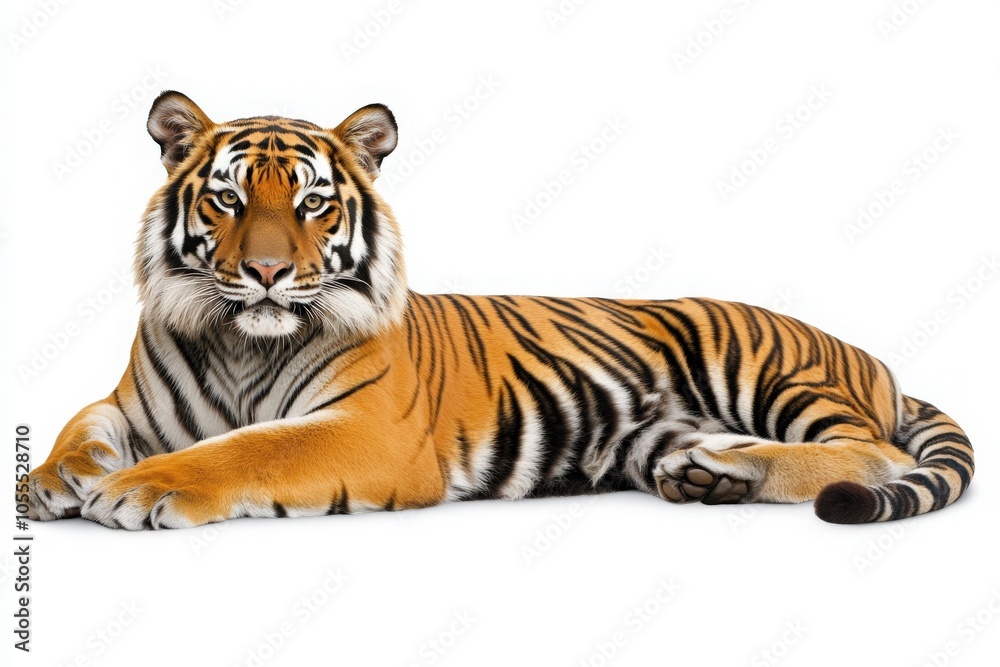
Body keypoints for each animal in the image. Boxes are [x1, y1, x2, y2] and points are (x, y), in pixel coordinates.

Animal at [25, 91, 973, 530]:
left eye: (312, 204)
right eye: (226, 200)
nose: (264, 271)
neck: (241, 343)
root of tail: (877, 361)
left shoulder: (368, 430)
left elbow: (250, 447)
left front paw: (139, 487)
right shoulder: (130, 401)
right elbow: (83, 423)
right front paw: (56, 477)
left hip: (767, 367)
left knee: (875, 453)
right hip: (655, 430)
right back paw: (708, 472)